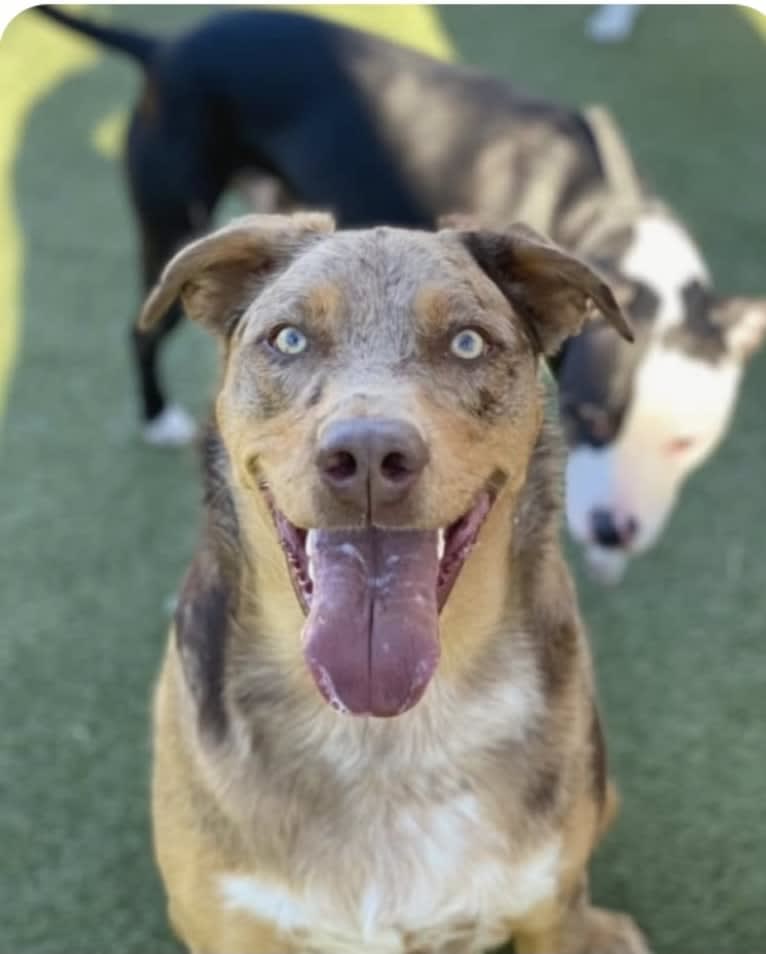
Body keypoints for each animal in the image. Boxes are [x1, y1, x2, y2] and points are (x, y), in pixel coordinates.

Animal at [138, 210, 648, 952]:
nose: (370, 454)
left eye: (467, 343)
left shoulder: (545, 905)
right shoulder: (225, 923)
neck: (384, 734)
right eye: (289, 338)